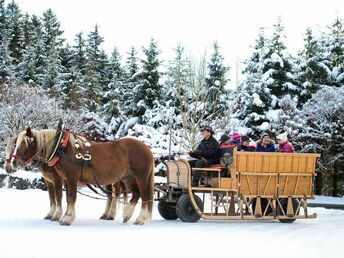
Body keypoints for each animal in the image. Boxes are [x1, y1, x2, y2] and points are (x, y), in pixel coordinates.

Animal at [11, 128, 155, 225]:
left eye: (25, 144)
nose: (13, 163)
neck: (61, 148)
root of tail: (146, 148)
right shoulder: (64, 180)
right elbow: (65, 199)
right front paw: (63, 216)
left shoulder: (69, 178)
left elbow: (68, 197)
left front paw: (66, 218)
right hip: (127, 178)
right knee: (135, 194)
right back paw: (126, 215)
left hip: (140, 177)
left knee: (144, 196)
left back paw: (139, 219)